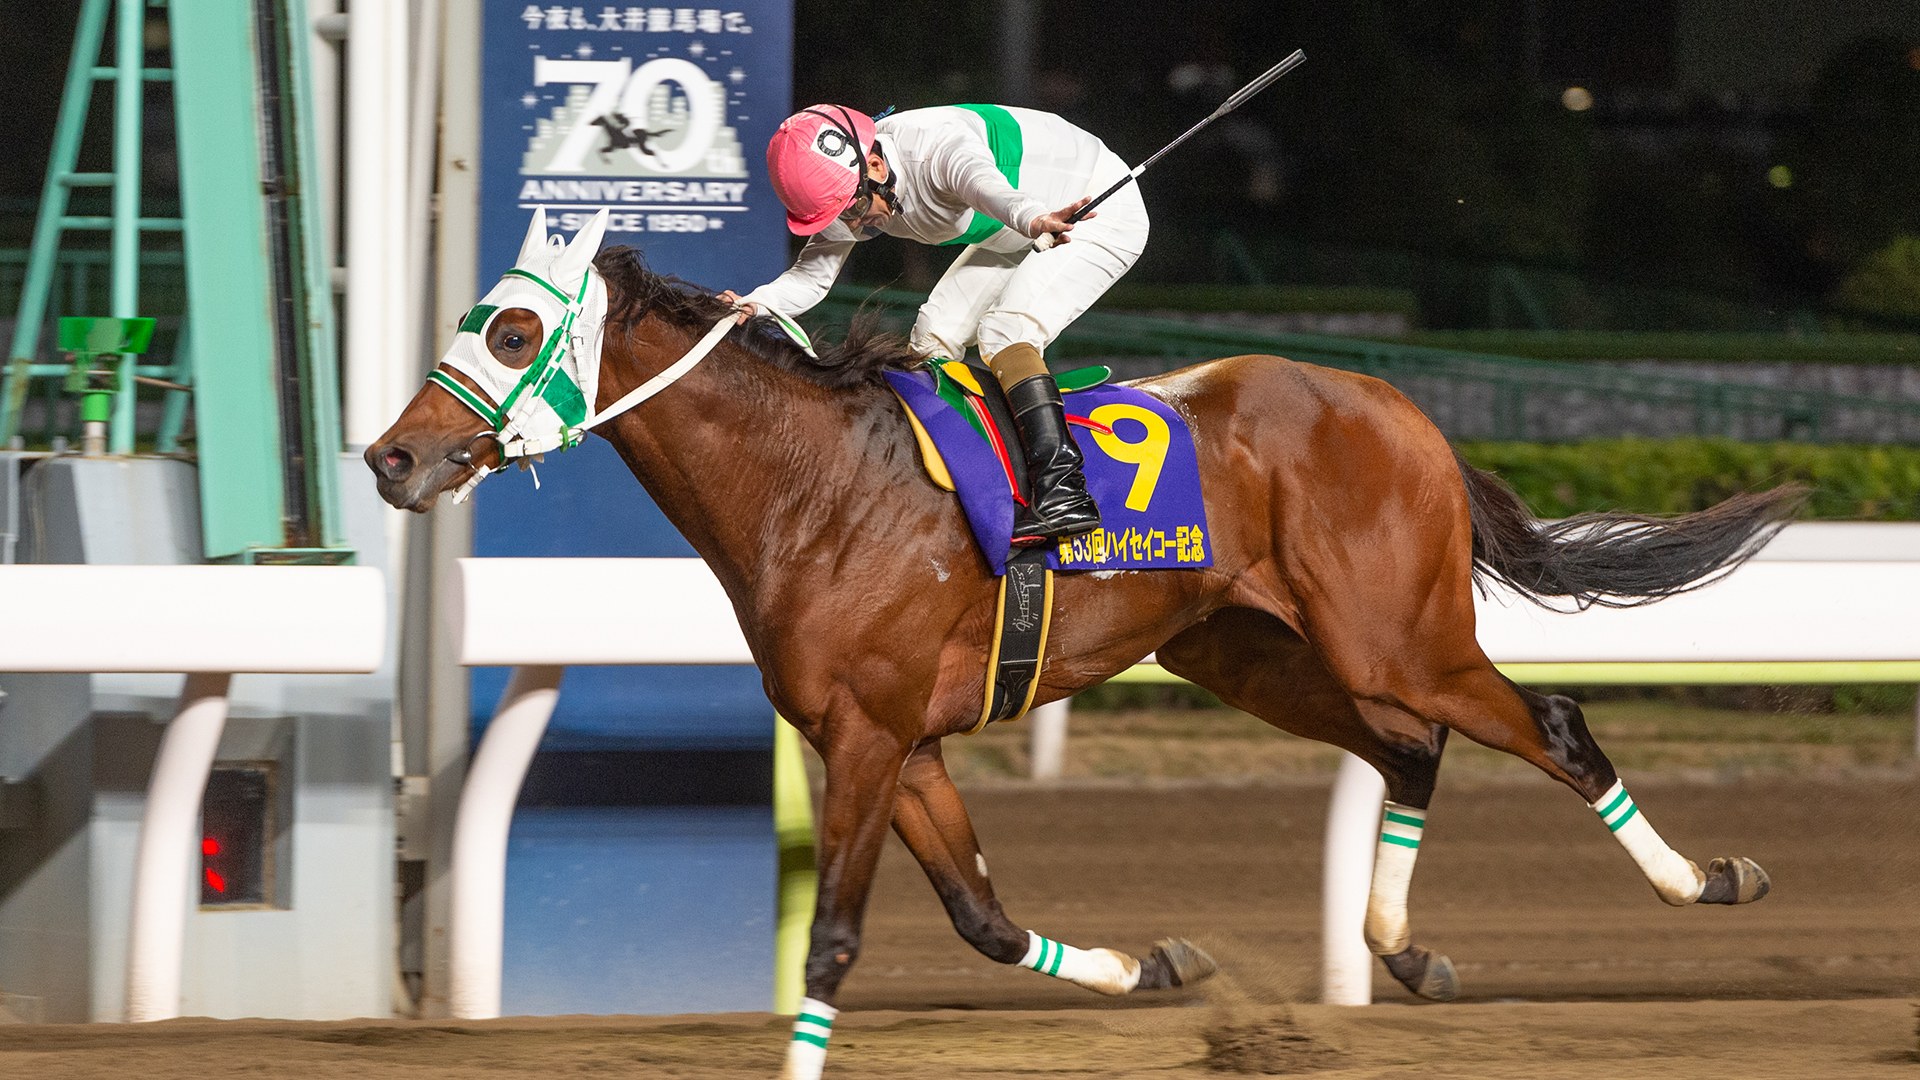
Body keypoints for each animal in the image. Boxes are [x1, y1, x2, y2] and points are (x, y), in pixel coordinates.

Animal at [368, 219, 1800, 1079]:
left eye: (510, 331)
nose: (391, 457)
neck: (815, 484)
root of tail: (1404, 407)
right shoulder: (899, 742)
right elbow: (983, 918)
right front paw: (1155, 962)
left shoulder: (871, 736)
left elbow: (836, 939)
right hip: (1252, 653)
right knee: (1412, 751)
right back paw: (1403, 948)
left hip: (1397, 633)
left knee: (1543, 724)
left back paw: (1708, 881)